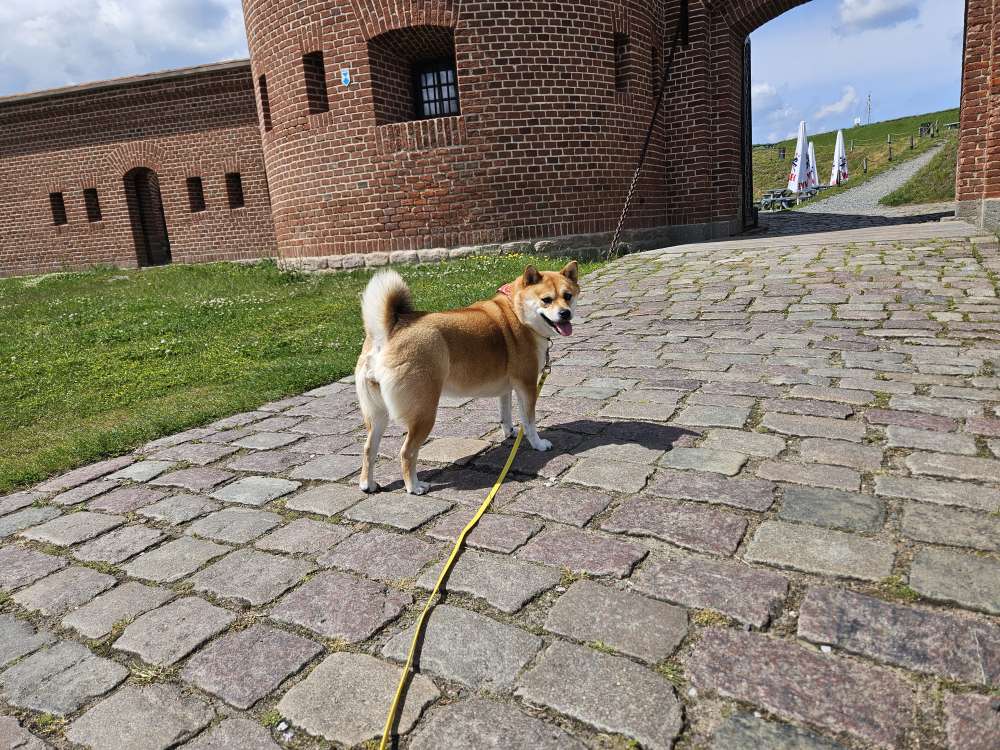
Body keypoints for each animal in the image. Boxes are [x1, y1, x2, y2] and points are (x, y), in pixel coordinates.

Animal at [358, 262, 580, 496]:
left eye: (568, 296)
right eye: (546, 300)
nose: (565, 313)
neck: (517, 311)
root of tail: (387, 332)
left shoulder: (507, 388)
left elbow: (506, 414)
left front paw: (509, 432)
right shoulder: (527, 386)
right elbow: (529, 422)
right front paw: (538, 444)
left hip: (377, 414)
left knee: (369, 448)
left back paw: (368, 484)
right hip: (423, 414)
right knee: (407, 452)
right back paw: (414, 486)